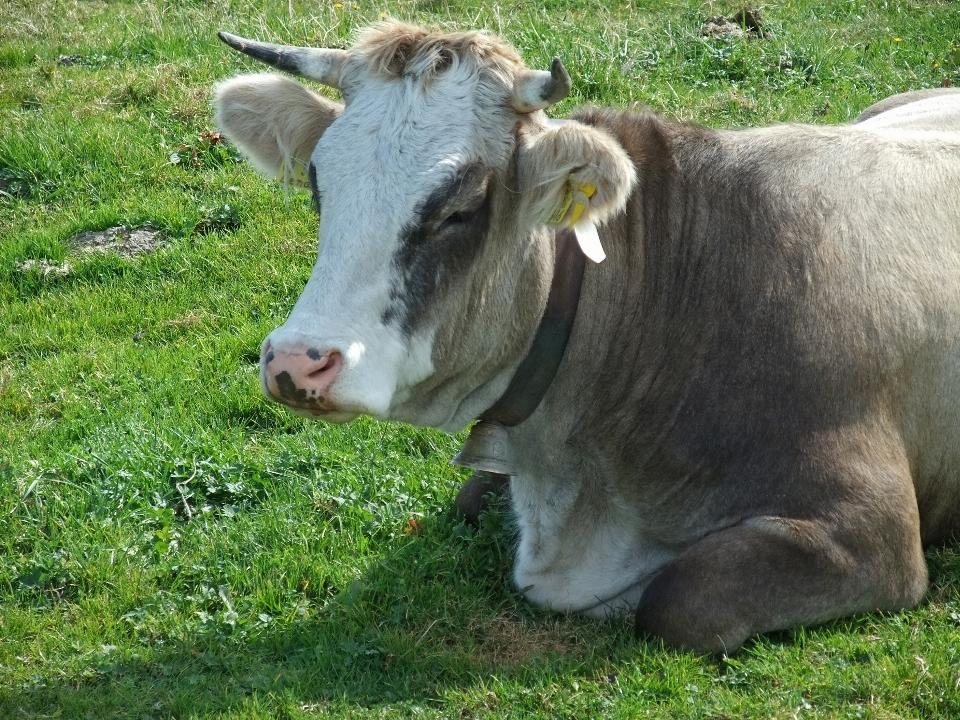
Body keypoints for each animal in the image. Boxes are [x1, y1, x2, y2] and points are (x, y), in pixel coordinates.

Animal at [214, 22, 960, 652]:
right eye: (319, 184)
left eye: (461, 209)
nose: (296, 361)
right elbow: (467, 499)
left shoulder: (874, 531)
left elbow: (676, 601)